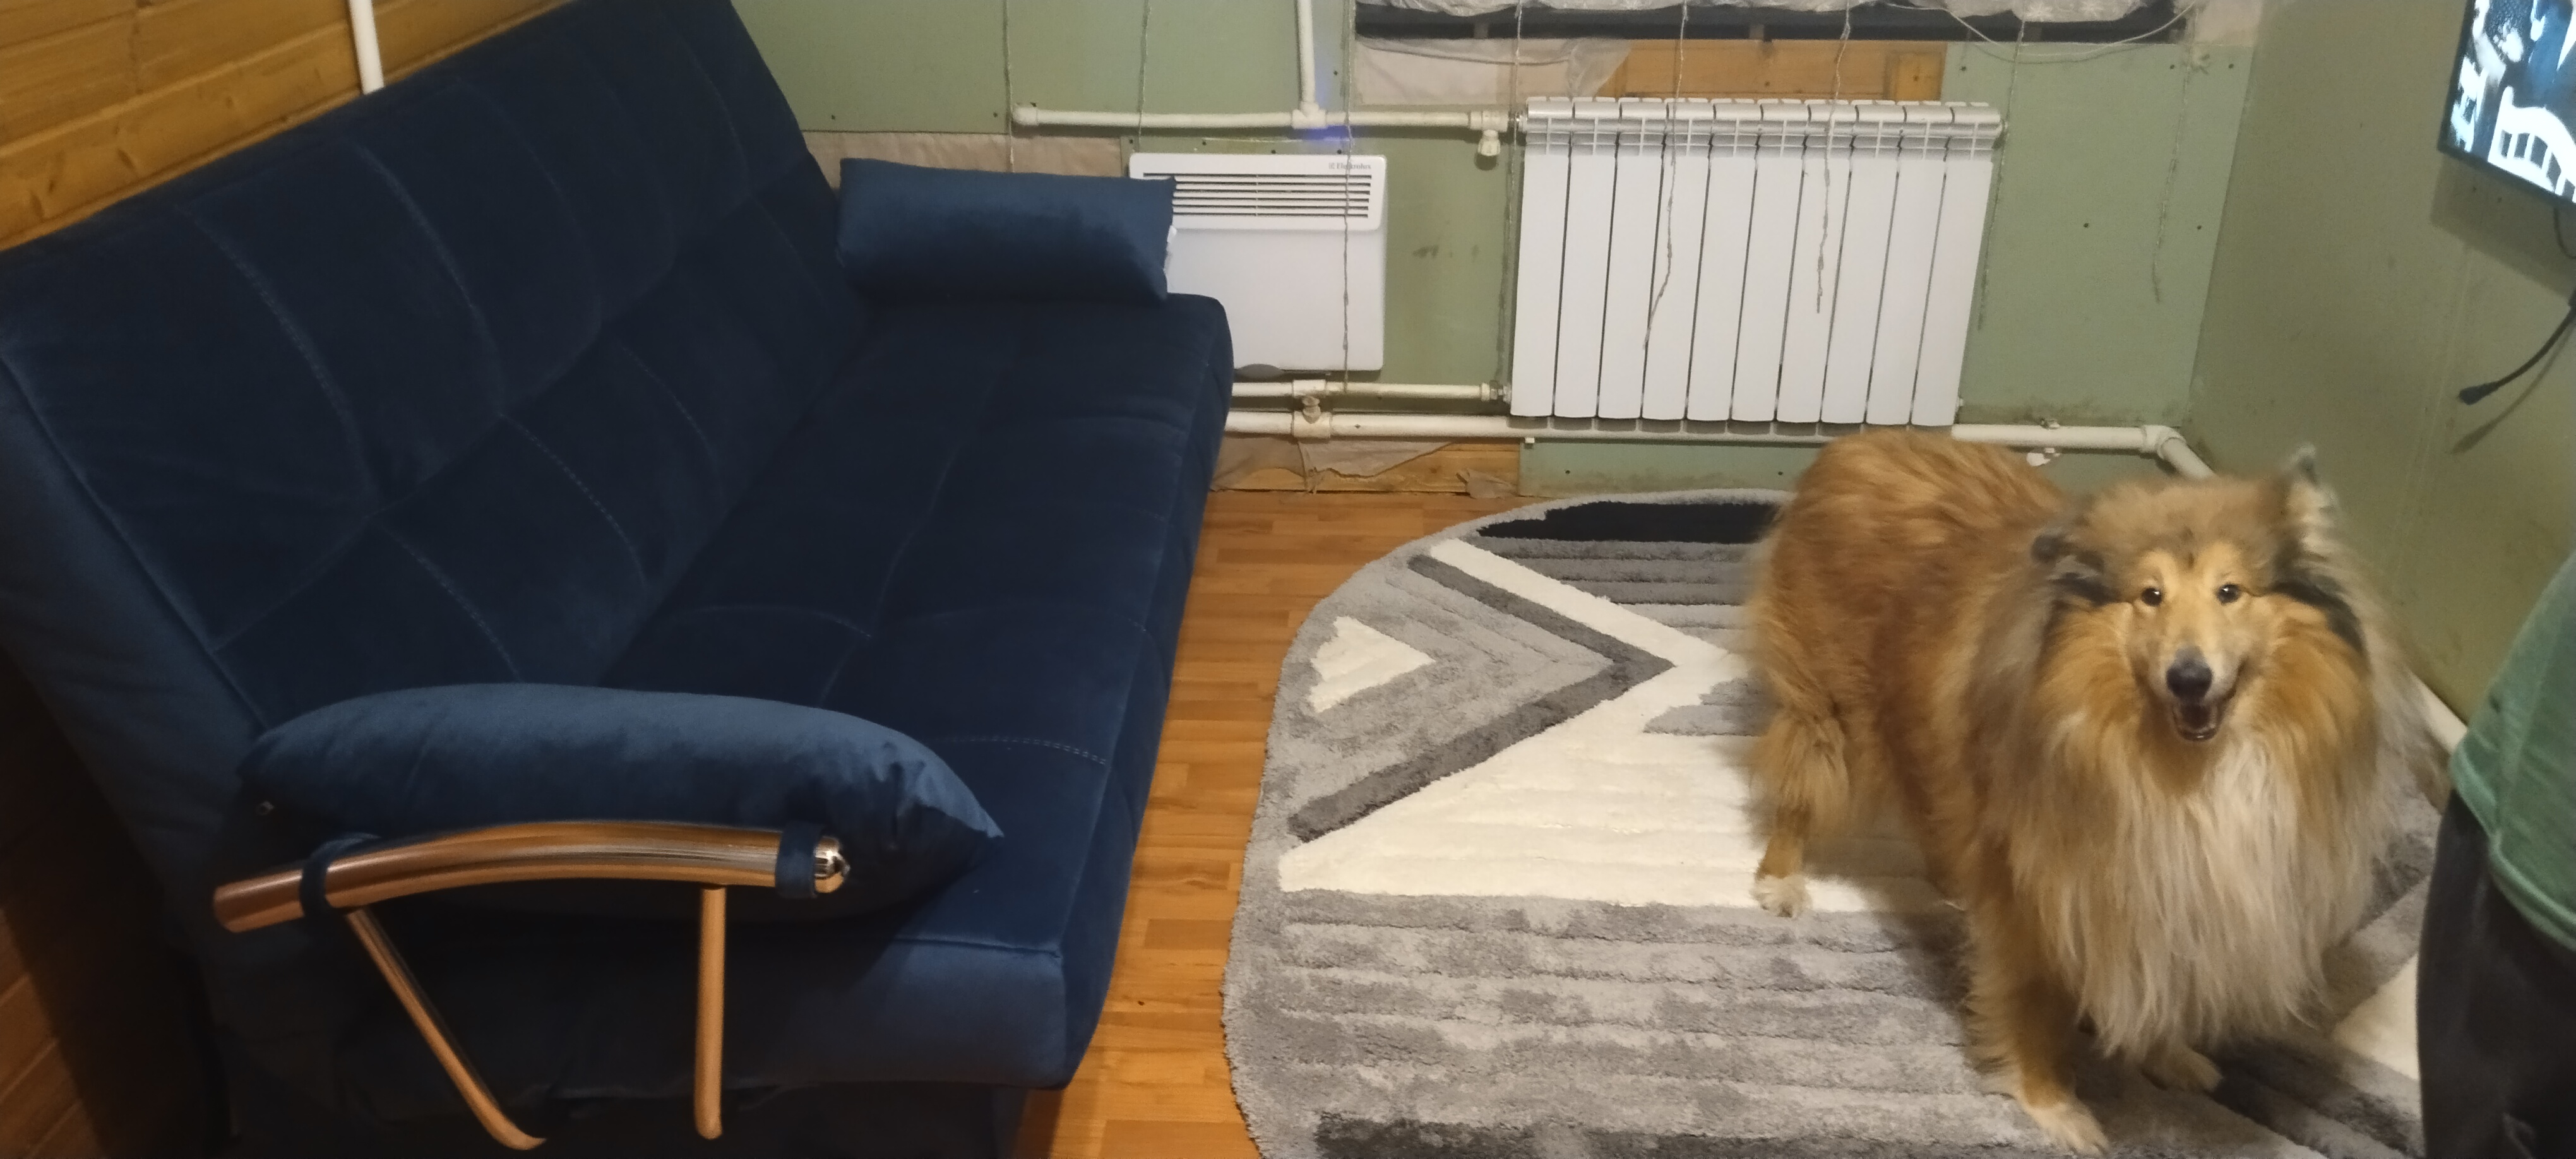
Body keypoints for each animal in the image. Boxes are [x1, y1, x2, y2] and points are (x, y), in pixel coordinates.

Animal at [1745, 431, 2442, 1154]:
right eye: (2150, 595)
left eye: (2230, 591)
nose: (2189, 678)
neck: (2182, 770)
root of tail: (1854, 443)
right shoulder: (2045, 900)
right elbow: (2033, 1009)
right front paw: (2053, 1107)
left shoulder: (2168, 887)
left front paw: (2169, 1056)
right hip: (1830, 711)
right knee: (1800, 791)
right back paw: (1781, 882)